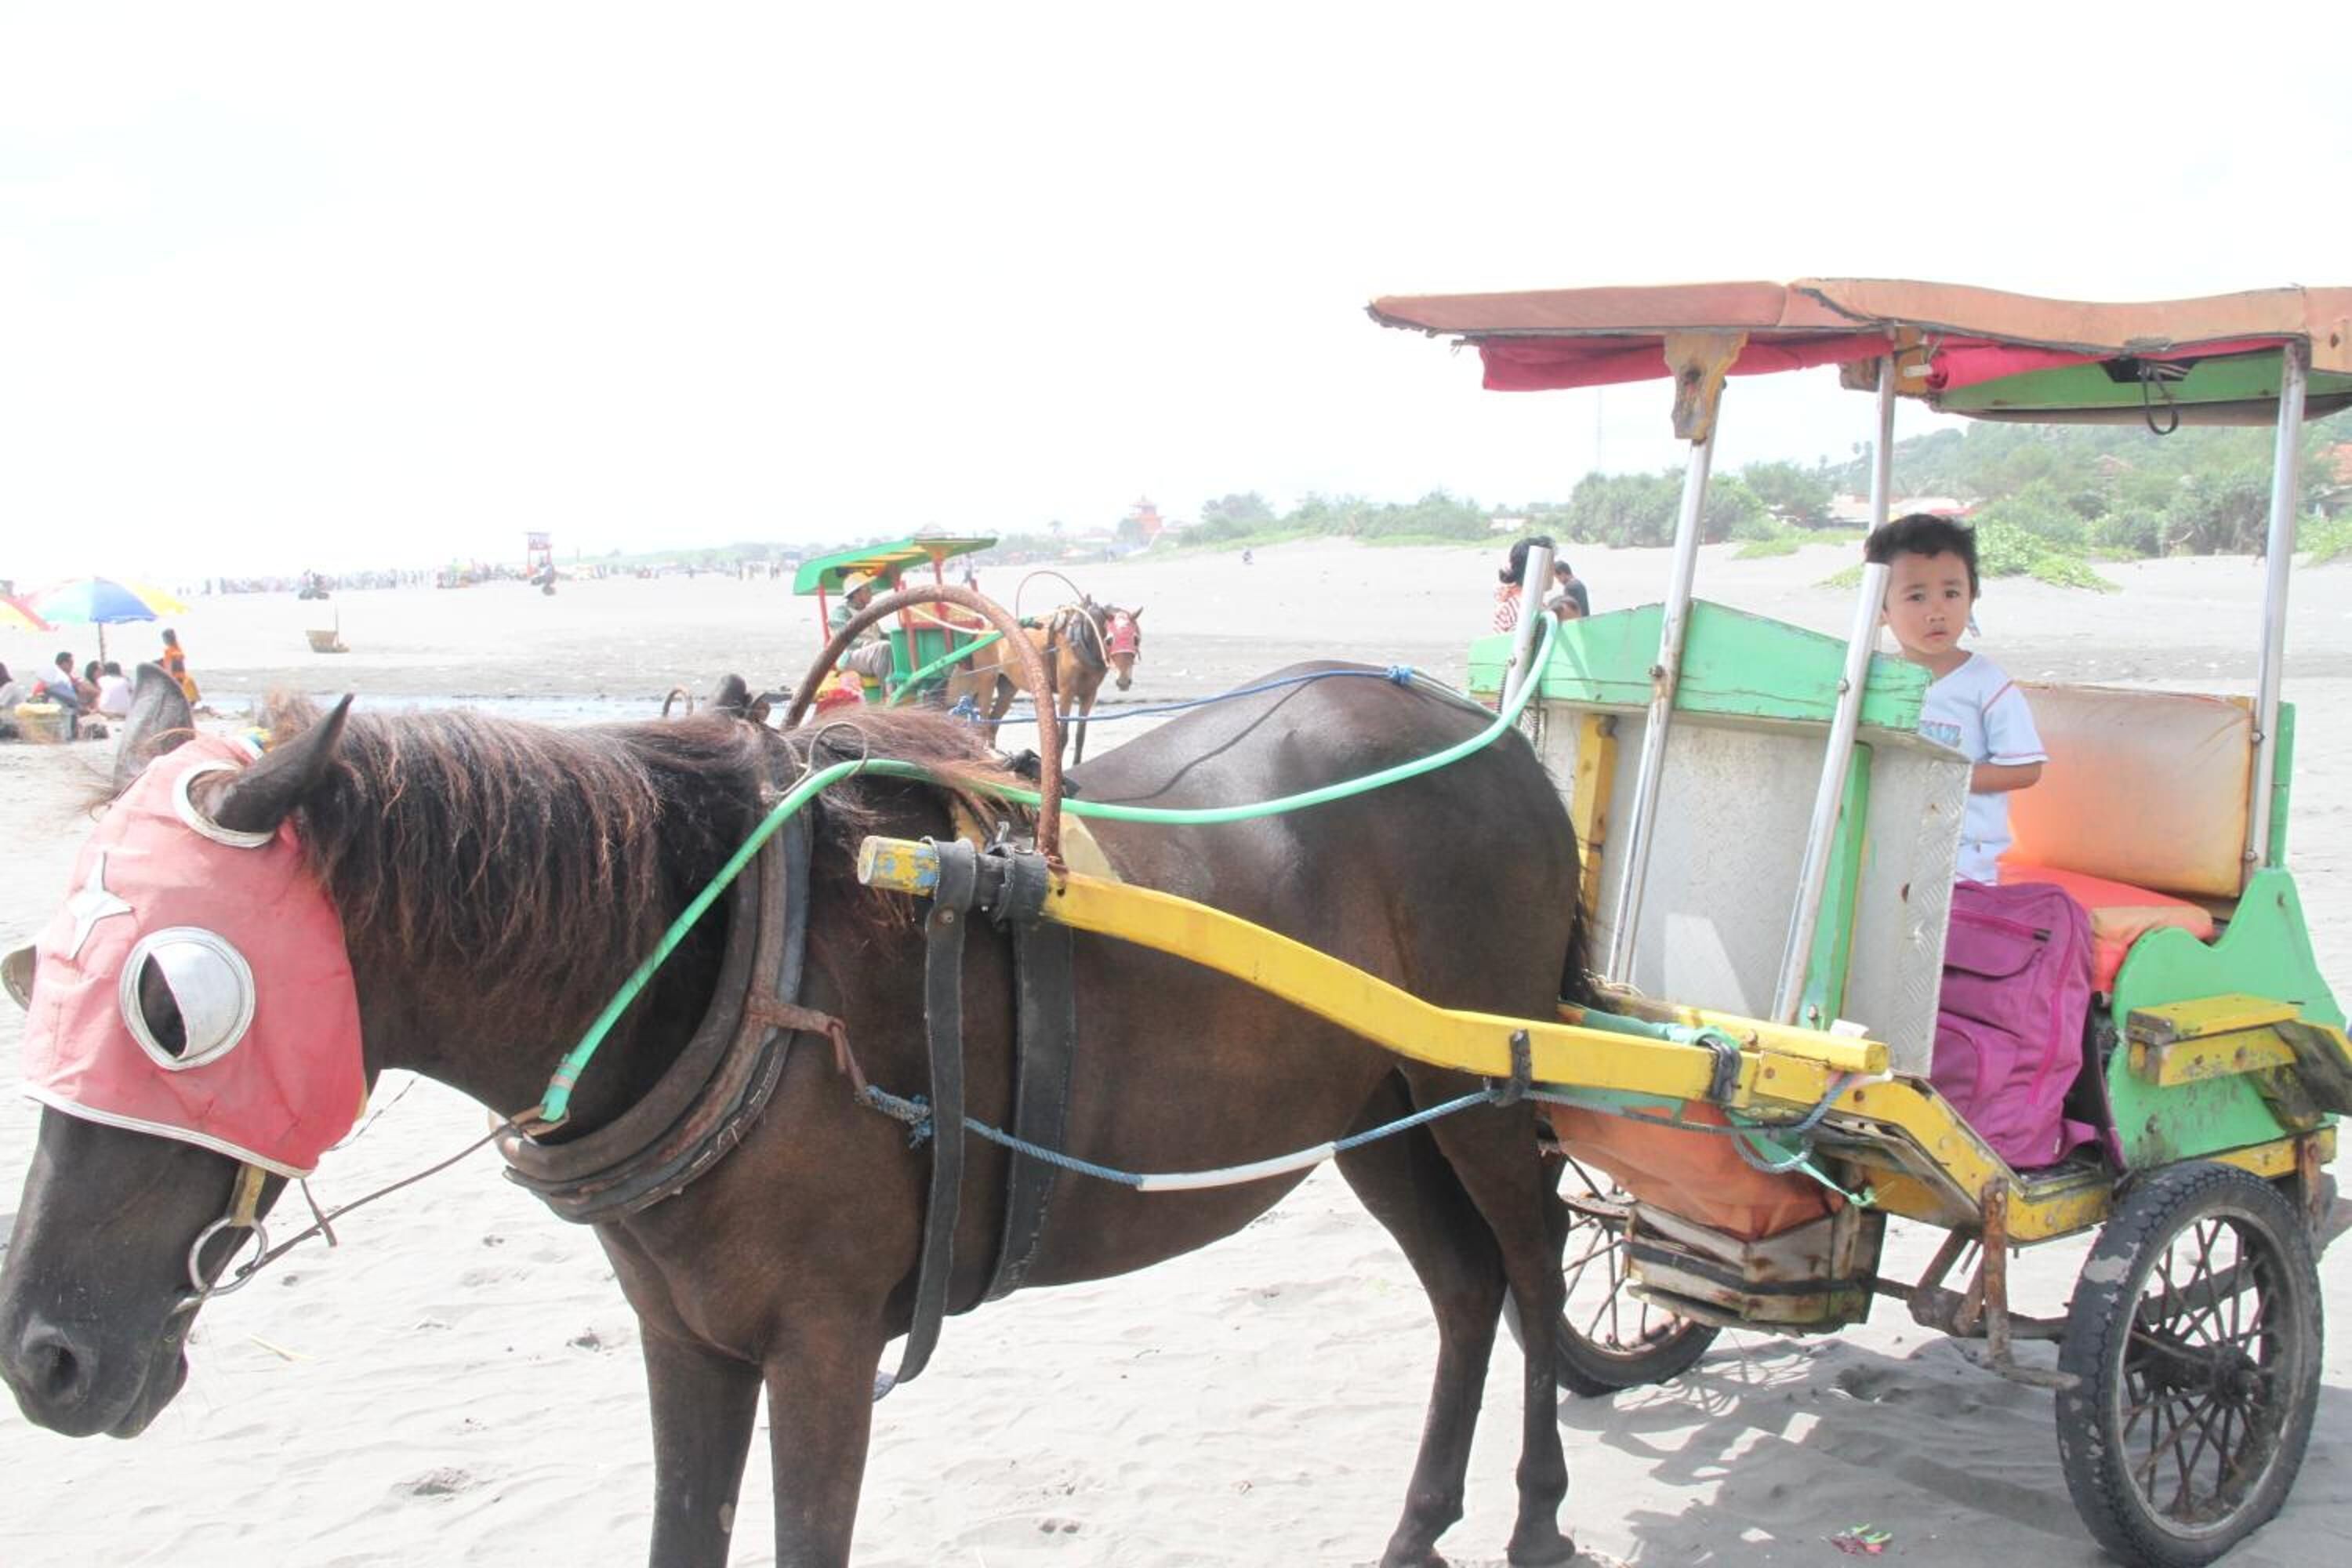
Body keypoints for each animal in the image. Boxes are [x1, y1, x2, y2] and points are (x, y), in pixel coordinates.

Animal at [0, 660, 1590, 1568]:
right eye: (35, 980)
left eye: (175, 1008)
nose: (45, 1361)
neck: (725, 959)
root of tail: (1488, 734)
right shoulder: (684, 1339)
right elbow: (681, 1536)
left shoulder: (822, 1351)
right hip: (1381, 1107)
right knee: (1463, 1292)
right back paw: (1420, 1524)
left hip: (1484, 1086)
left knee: (1527, 1269)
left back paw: (1533, 1515)